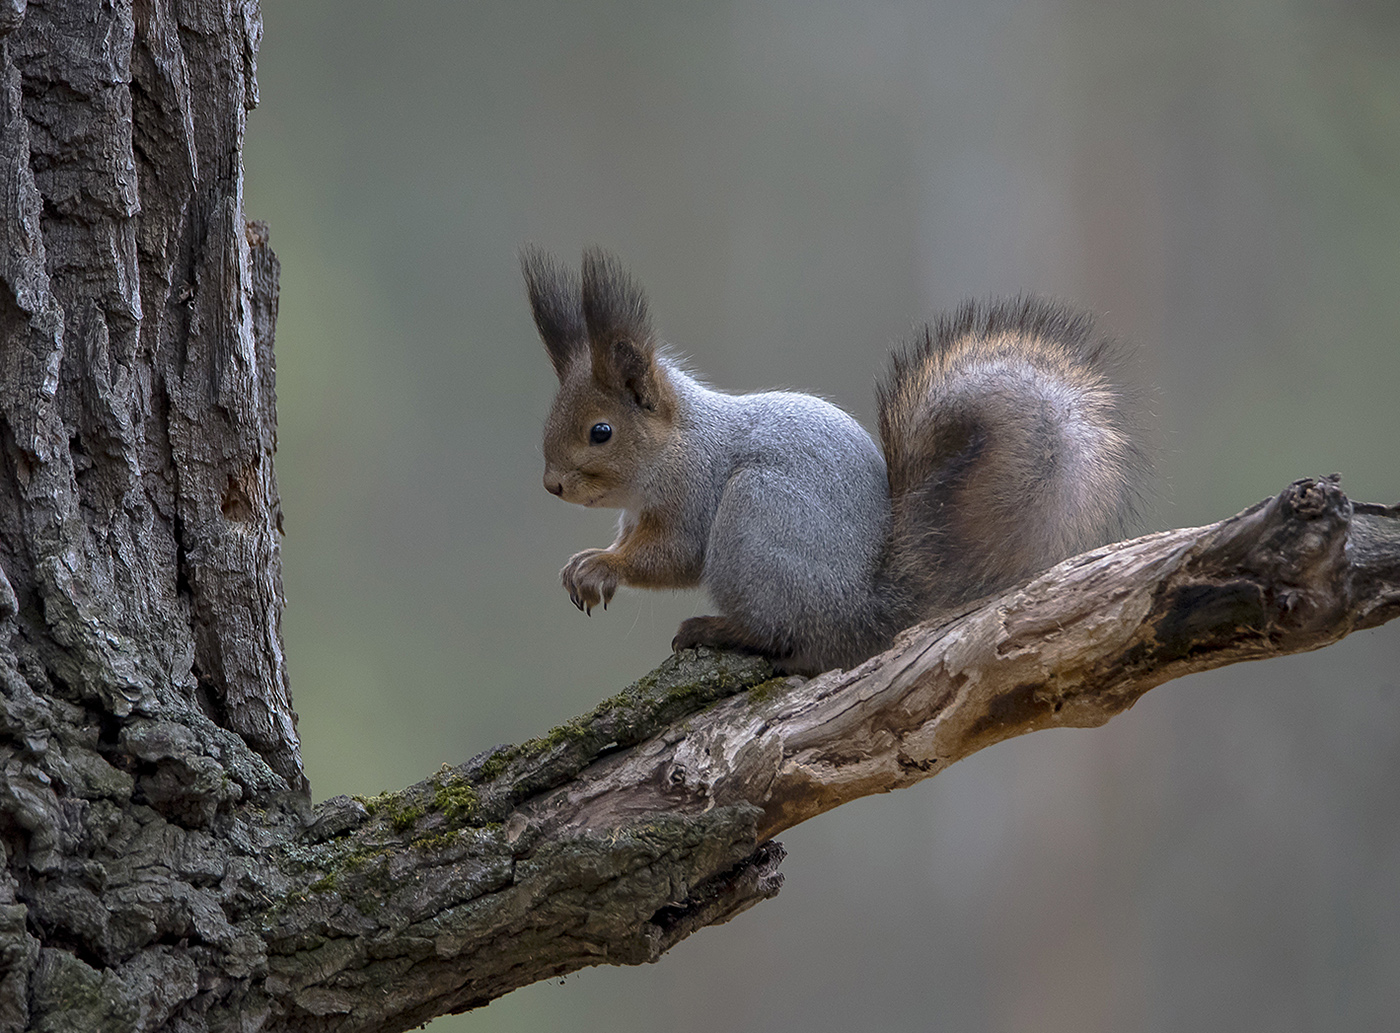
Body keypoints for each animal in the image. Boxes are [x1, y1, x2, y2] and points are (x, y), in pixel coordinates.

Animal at [523, 244, 1148, 671]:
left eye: (601, 432)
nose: (552, 485)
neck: (675, 446)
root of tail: (863, 613)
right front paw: (588, 563)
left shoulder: (695, 491)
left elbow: (673, 555)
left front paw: (601, 566)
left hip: (755, 516)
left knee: (785, 636)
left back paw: (718, 628)